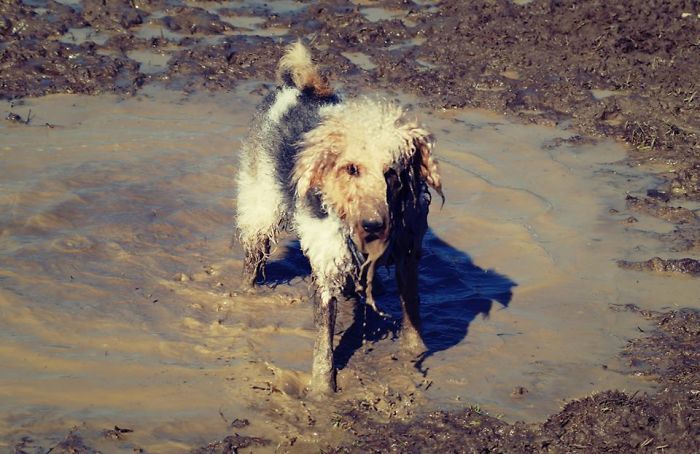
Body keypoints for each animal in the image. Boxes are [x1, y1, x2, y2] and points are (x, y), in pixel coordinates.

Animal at [235, 41, 442, 394]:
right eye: (352, 169)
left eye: (392, 172)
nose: (372, 226)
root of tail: (300, 88)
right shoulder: (327, 261)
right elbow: (324, 345)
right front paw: (321, 392)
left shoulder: (407, 252)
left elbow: (412, 311)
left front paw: (416, 355)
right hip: (261, 208)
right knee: (253, 258)